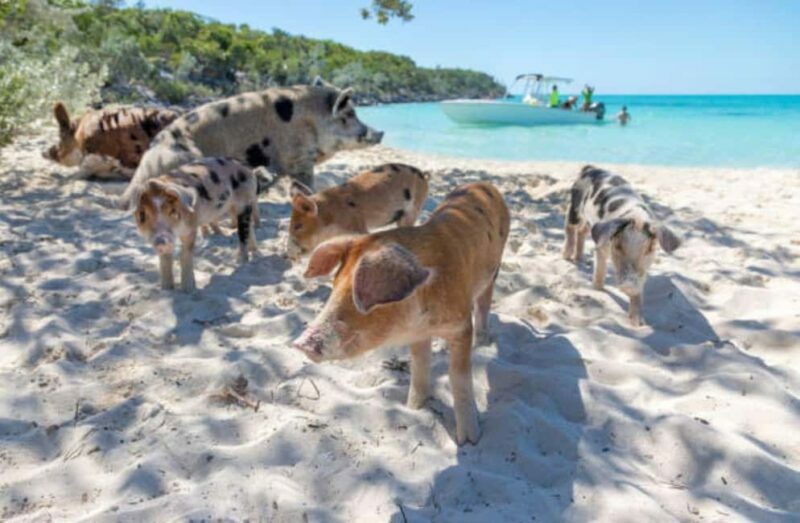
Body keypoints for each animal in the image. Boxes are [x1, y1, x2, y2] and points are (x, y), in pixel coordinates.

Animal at [134, 157, 261, 291]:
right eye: (142, 215)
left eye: (172, 211)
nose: (160, 241)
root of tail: (245, 166)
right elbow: (165, 260)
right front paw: (166, 289)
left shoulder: (191, 227)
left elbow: (185, 255)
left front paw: (188, 290)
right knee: (250, 227)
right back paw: (254, 251)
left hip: (245, 201)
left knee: (243, 232)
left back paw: (241, 262)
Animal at [293, 182, 510, 445]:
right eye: (334, 286)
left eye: (359, 294)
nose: (301, 343)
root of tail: (485, 185)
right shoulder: (418, 335)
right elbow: (419, 368)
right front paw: (413, 408)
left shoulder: (461, 326)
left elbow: (458, 379)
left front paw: (469, 441)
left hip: (494, 269)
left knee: (484, 305)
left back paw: (482, 343)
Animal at [562, 165, 681, 326]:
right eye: (618, 246)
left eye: (649, 249)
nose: (629, 283)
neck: (636, 216)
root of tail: (590, 168)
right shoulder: (602, 244)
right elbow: (600, 269)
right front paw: (597, 289)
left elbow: (639, 291)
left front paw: (638, 324)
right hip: (575, 205)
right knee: (569, 226)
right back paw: (567, 256)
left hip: (589, 222)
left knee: (582, 231)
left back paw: (578, 258)